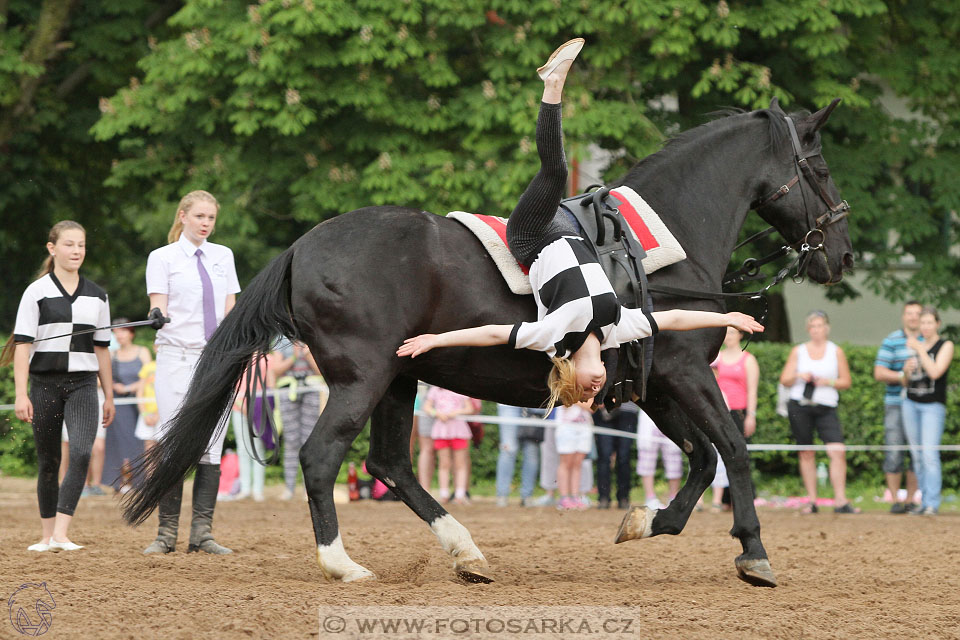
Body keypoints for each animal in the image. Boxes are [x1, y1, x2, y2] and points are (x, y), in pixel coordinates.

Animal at [122, 97, 856, 588]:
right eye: (819, 168)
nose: (842, 255)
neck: (657, 245)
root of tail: (303, 247)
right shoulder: (685, 378)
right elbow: (733, 449)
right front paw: (753, 551)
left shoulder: (652, 388)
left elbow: (703, 460)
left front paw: (644, 522)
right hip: (363, 379)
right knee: (323, 457)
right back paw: (342, 563)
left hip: (399, 378)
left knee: (390, 463)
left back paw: (465, 551)